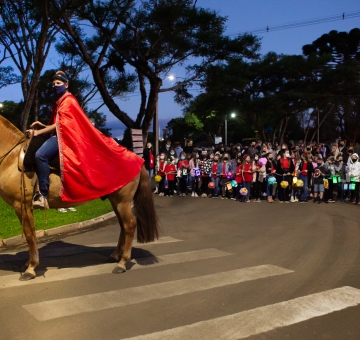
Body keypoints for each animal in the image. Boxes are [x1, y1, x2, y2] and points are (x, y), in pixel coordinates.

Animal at [0, 115, 159, 280]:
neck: (11, 160)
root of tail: (137, 159)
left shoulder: (22, 205)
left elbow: (30, 235)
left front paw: (31, 268)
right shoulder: (22, 207)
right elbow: (30, 233)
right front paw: (28, 264)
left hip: (123, 201)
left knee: (129, 225)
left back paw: (122, 263)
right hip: (116, 201)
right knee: (123, 226)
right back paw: (115, 255)